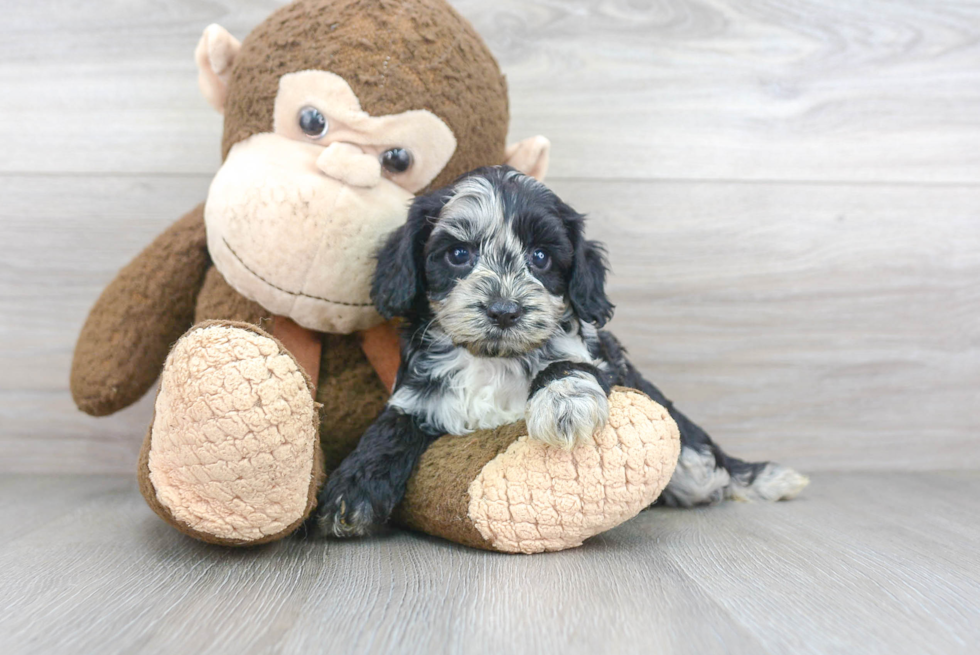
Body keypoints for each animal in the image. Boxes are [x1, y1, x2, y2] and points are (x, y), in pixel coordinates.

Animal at [318, 165, 808, 540]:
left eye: (540, 257)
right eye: (458, 254)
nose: (504, 310)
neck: (491, 360)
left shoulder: (602, 360)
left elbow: (567, 363)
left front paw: (564, 404)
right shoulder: (418, 396)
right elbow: (389, 430)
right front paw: (350, 491)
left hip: (692, 460)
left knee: (711, 470)